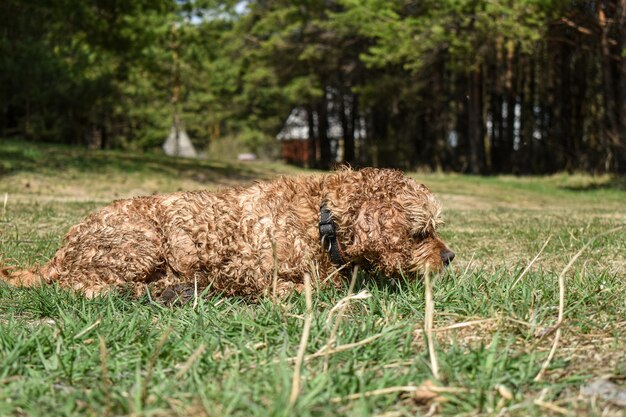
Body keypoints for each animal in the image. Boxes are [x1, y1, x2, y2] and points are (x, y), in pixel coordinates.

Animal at [3, 167, 454, 298]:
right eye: (421, 233)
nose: (449, 257)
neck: (322, 219)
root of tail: (58, 254)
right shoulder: (246, 267)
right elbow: (311, 284)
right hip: (140, 242)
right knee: (82, 285)